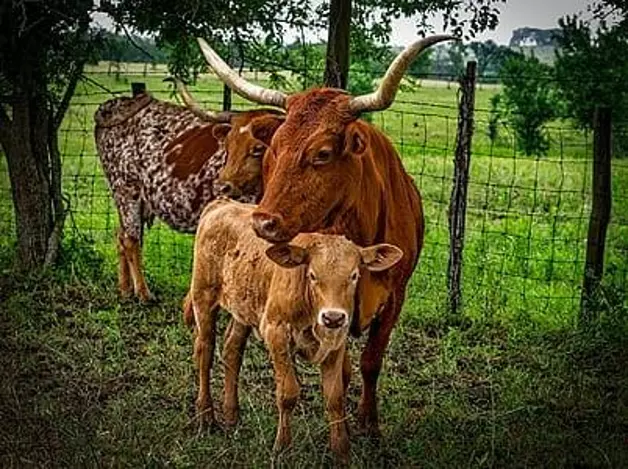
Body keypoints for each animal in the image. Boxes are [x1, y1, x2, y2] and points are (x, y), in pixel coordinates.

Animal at [186, 198, 402, 460]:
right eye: (312, 275)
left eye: (354, 276)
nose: (332, 317)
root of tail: (222, 204)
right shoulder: (276, 332)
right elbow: (288, 393)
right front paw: (282, 447)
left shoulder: (336, 342)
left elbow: (335, 398)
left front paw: (341, 452)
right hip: (203, 297)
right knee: (204, 352)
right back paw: (206, 417)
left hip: (243, 307)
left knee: (232, 350)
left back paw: (231, 415)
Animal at [196, 35, 456, 436]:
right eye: (272, 150)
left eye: (322, 153)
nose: (262, 222)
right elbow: (345, 371)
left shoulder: (396, 296)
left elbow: (371, 362)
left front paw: (370, 424)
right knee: (210, 343)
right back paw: (208, 413)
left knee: (231, 343)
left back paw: (231, 412)